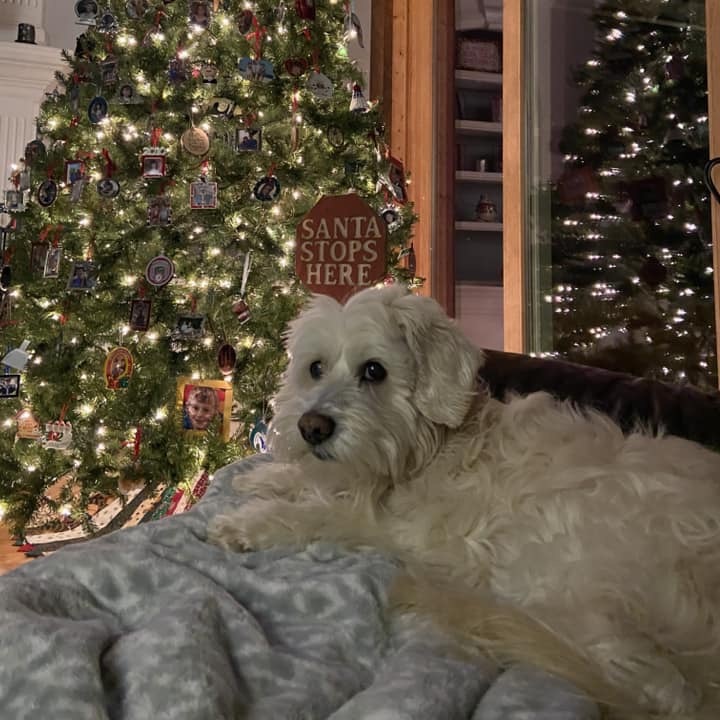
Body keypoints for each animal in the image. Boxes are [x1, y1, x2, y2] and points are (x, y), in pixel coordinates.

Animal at [212, 284, 720, 716]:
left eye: (374, 370)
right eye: (314, 368)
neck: (427, 449)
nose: (311, 427)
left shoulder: (379, 527)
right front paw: (266, 477)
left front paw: (247, 522)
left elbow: (311, 515)